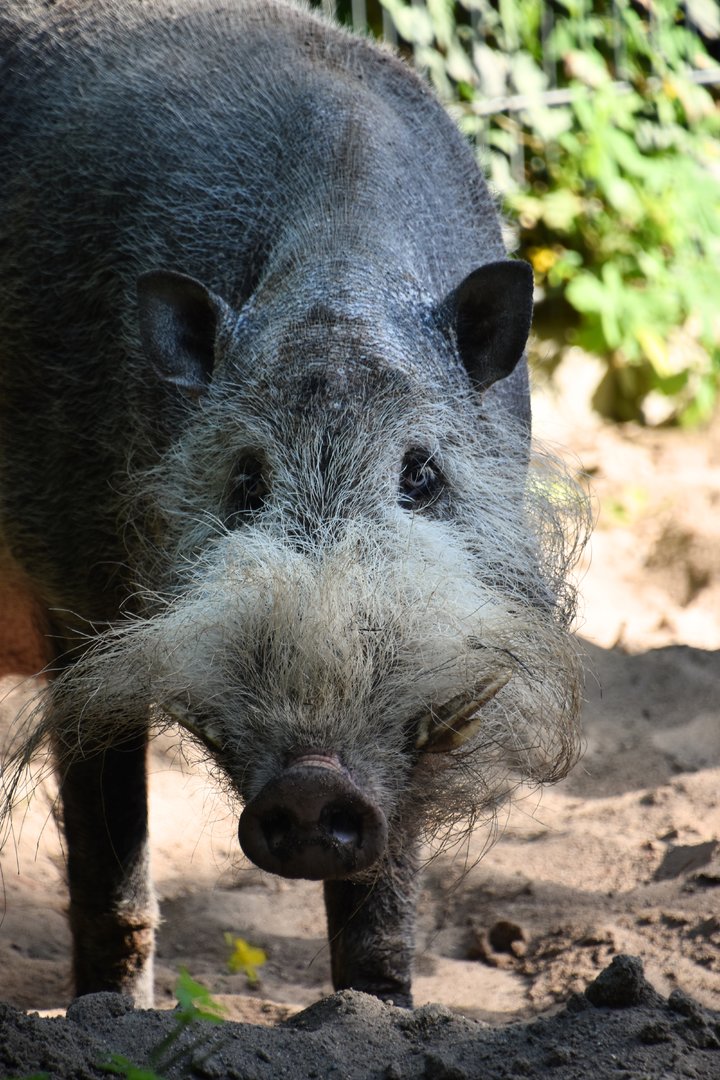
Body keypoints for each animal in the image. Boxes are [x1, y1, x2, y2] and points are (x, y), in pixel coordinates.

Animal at [0, 0, 586, 1008]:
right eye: (244, 479)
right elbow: (109, 844)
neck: (334, 272)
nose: (312, 783)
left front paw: (378, 1012)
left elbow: (383, 887)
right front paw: (106, 1014)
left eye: (422, 475)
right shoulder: (73, 594)